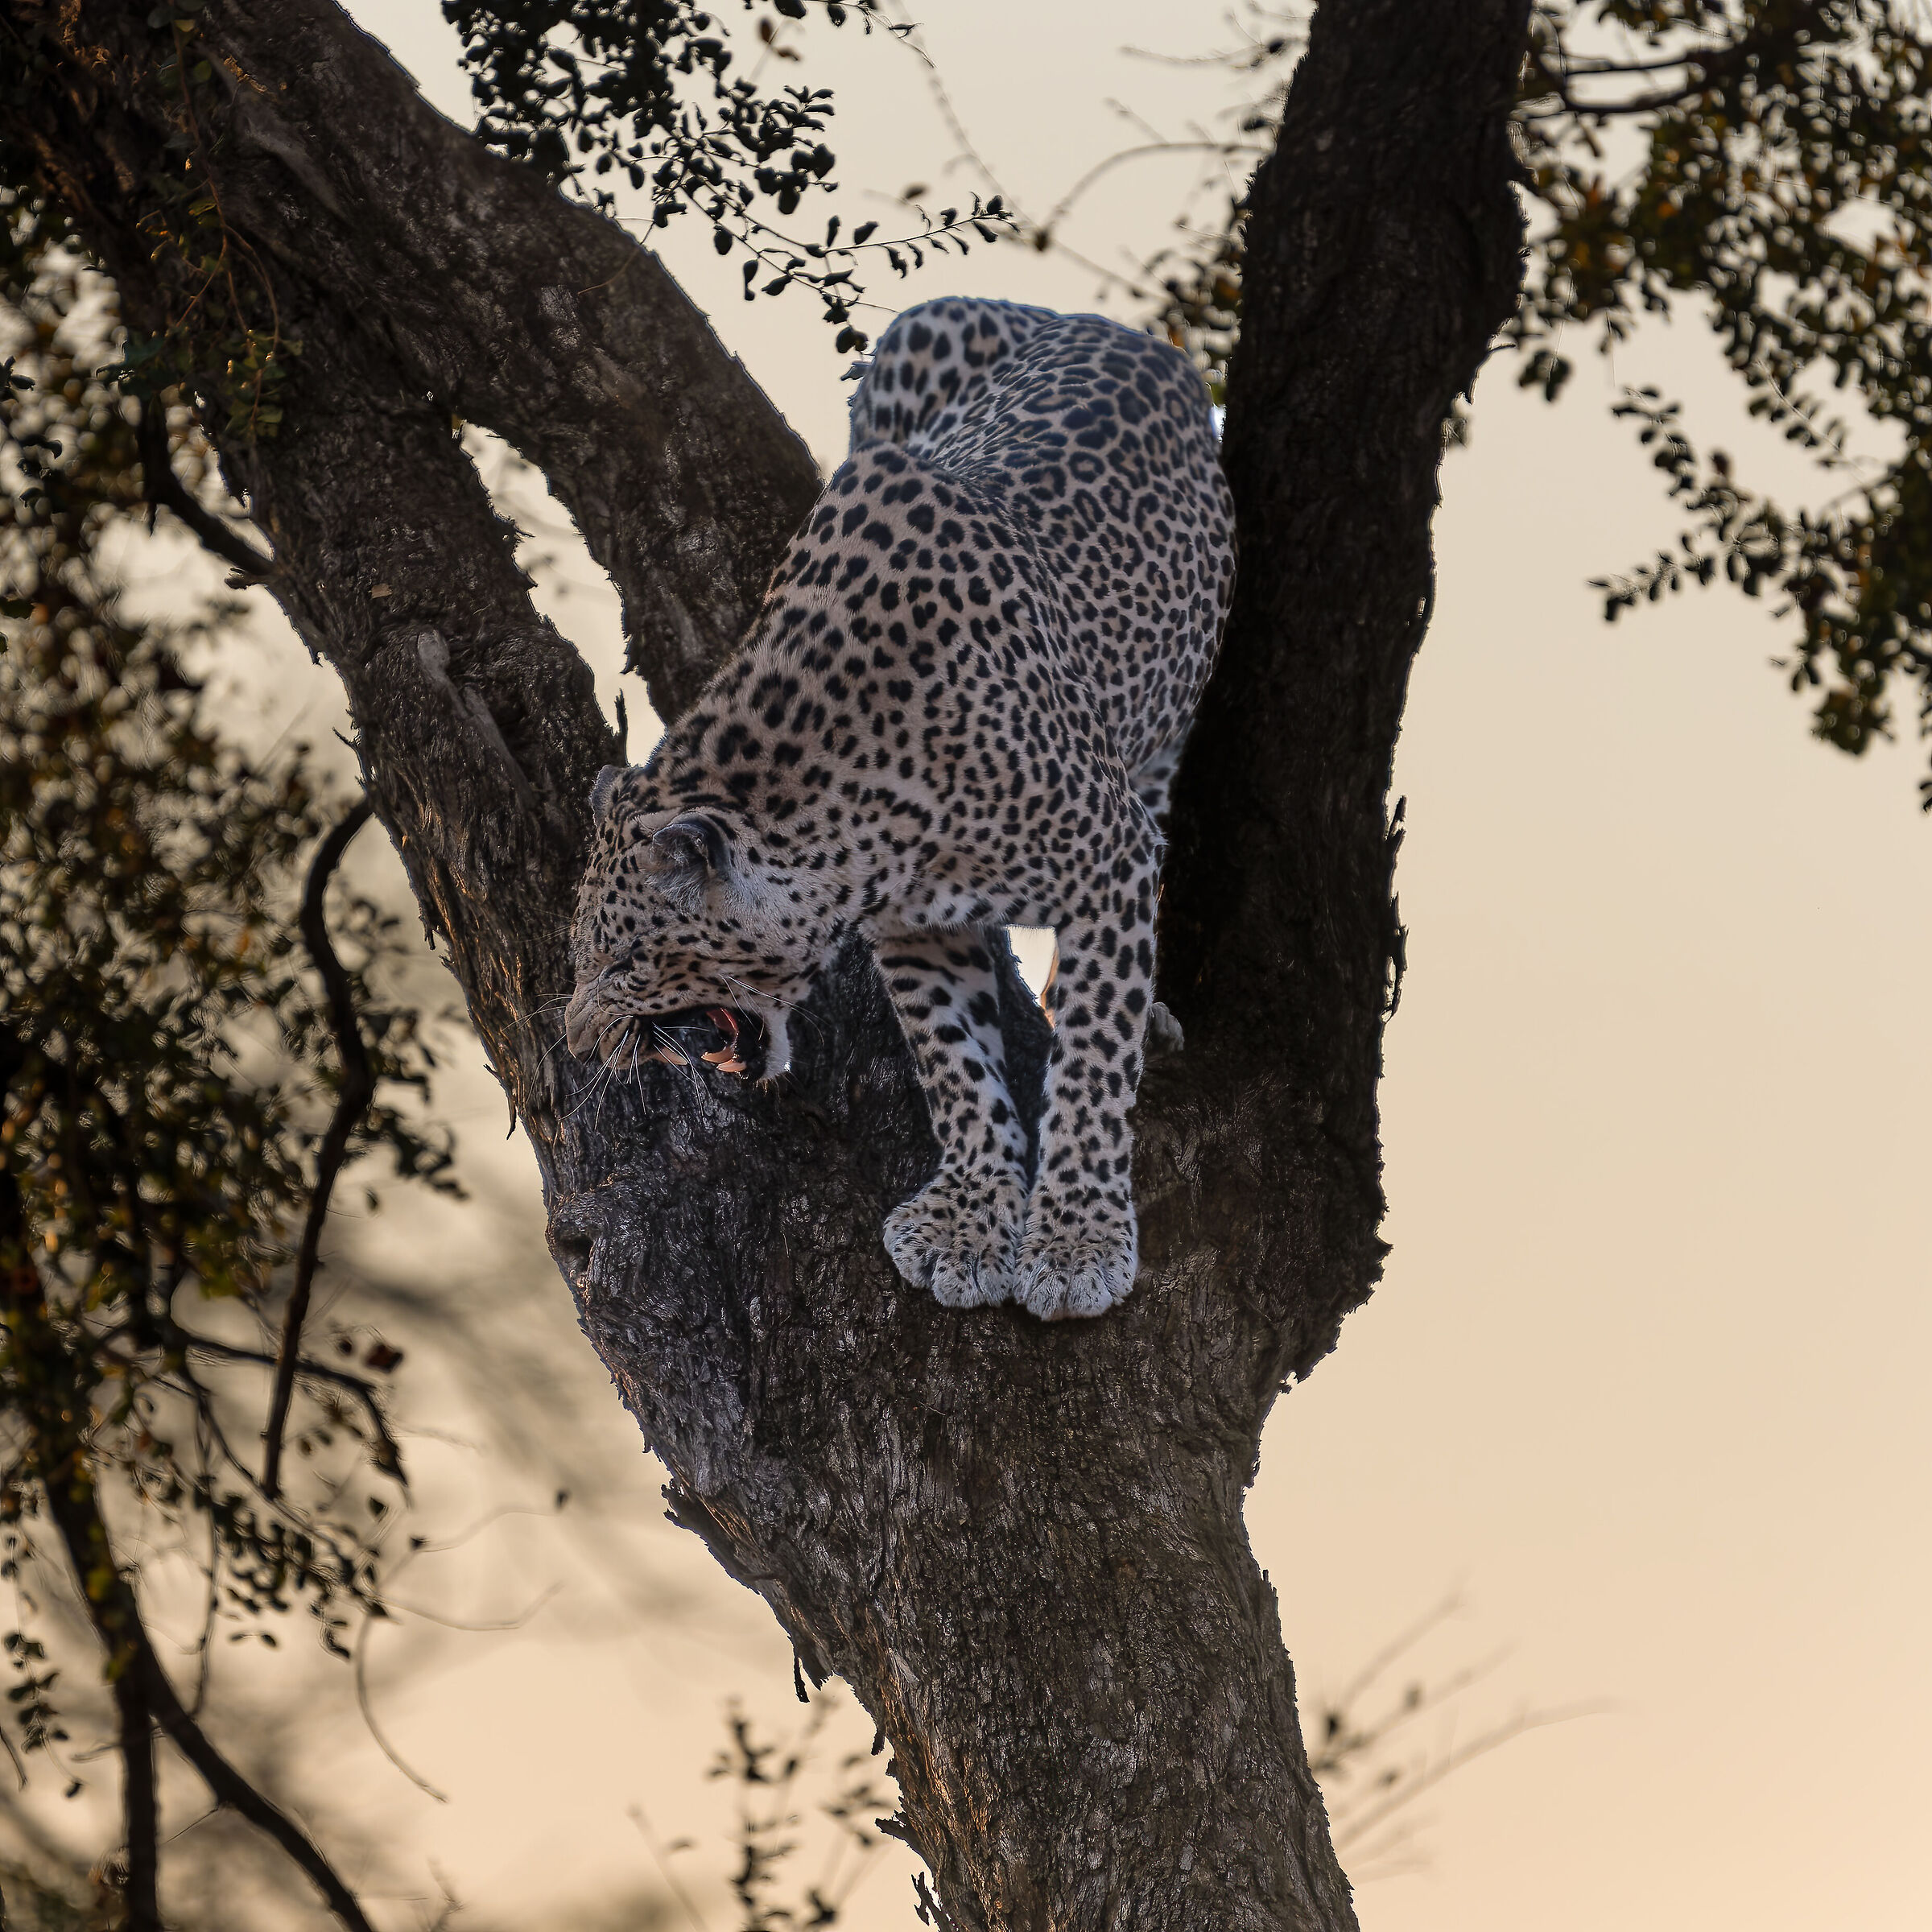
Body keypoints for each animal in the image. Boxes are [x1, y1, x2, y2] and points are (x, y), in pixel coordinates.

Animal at [564, 296, 1234, 1320]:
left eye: (627, 960)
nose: (576, 1040)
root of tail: (1108, 326)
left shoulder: (1109, 859)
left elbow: (1093, 1058)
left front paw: (1076, 1239)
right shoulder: (914, 922)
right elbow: (953, 1062)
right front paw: (969, 1223)